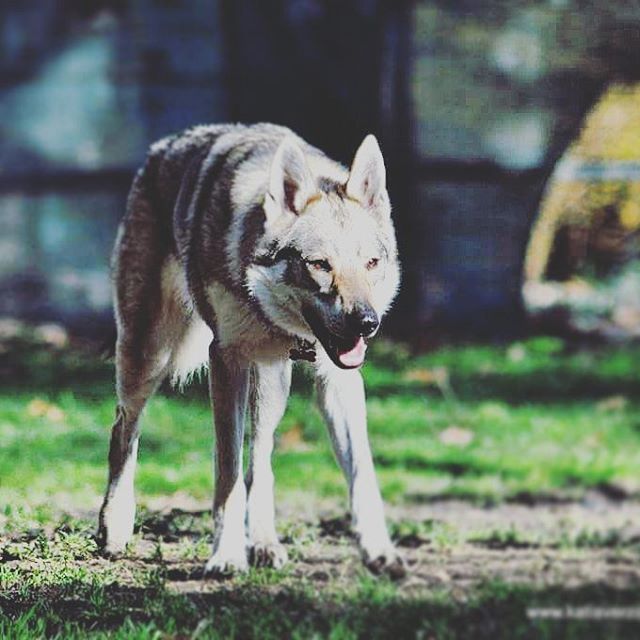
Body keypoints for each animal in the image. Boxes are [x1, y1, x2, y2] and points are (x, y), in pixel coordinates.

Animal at [97, 123, 404, 577]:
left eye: (371, 264)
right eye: (319, 265)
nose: (367, 323)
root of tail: (162, 147)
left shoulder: (339, 378)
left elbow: (362, 473)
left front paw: (380, 551)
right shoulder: (226, 361)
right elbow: (227, 473)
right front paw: (225, 556)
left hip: (272, 383)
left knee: (261, 458)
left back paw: (263, 543)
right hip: (147, 357)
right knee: (124, 431)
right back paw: (114, 527)